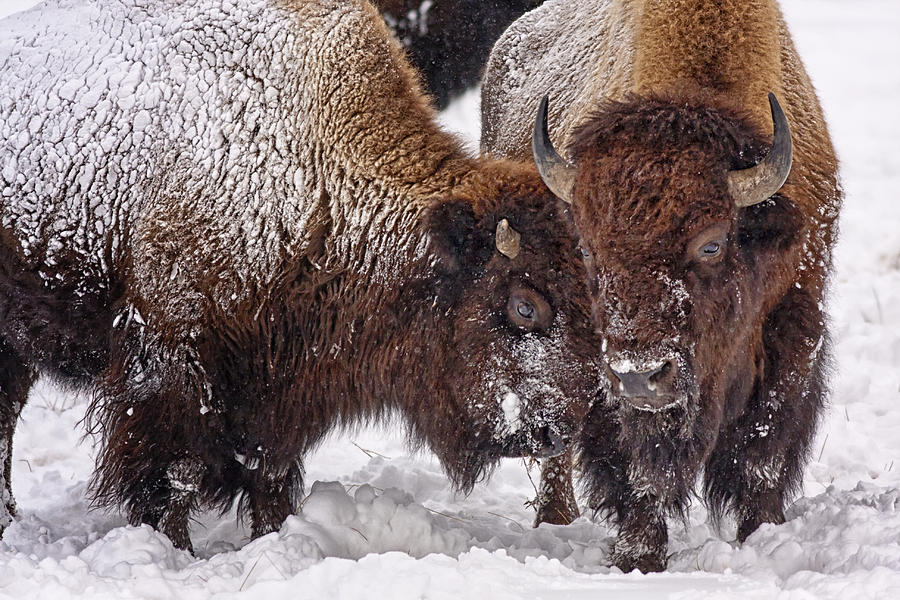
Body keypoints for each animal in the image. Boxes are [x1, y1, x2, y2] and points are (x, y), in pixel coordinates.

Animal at [482, 0, 840, 572]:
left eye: (711, 244)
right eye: (586, 246)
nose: (639, 377)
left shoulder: (794, 327)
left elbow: (763, 448)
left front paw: (763, 534)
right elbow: (638, 466)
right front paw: (639, 556)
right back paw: (555, 518)